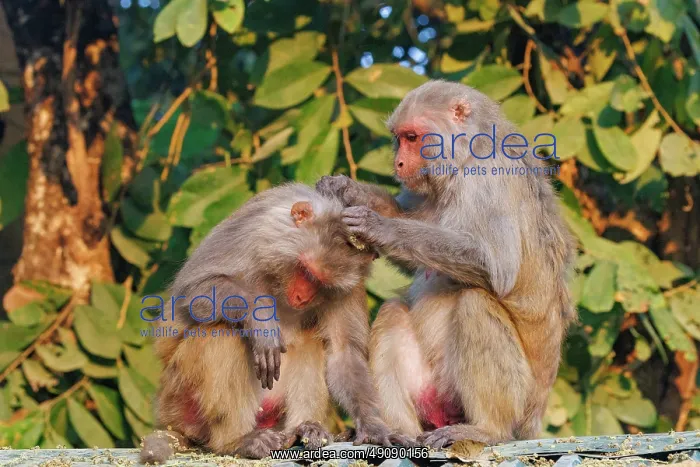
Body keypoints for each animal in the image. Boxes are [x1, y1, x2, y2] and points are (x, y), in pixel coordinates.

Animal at [140, 183, 414, 464]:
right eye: (305, 271)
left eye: (321, 284)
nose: (303, 297)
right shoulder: (250, 232)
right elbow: (192, 293)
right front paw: (259, 317)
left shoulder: (349, 283)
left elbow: (343, 351)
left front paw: (372, 425)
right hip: (179, 400)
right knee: (222, 333)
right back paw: (236, 441)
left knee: (310, 341)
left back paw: (303, 430)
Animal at [316, 80, 577, 449]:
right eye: (399, 138)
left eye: (412, 137)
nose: (398, 162)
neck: (465, 157)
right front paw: (344, 189)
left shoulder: (488, 177)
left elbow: (495, 268)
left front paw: (377, 226)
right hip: (433, 393)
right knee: (393, 312)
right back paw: (399, 433)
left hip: (517, 401)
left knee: (475, 305)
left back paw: (488, 429)